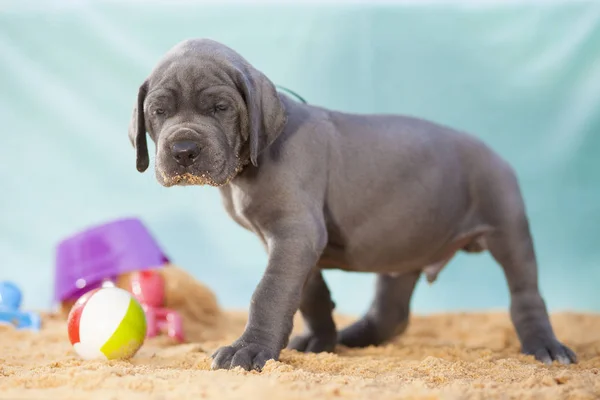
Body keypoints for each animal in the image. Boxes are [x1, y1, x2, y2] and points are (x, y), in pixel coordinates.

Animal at [126, 38, 576, 372]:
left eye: (220, 108)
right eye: (158, 111)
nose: (184, 150)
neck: (251, 161)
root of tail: (495, 153)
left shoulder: (296, 232)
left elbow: (269, 292)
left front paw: (250, 350)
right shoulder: (294, 241)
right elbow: (309, 294)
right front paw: (322, 341)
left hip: (508, 227)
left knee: (526, 293)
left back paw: (545, 345)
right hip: (404, 247)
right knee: (393, 312)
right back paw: (353, 337)